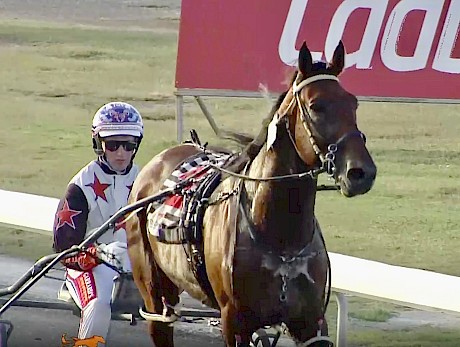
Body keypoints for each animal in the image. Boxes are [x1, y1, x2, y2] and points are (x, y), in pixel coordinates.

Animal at [126, 40, 378, 346]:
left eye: (353, 102)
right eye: (316, 106)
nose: (361, 172)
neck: (282, 237)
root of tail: (157, 162)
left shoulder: (310, 321)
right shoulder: (234, 320)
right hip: (154, 290)